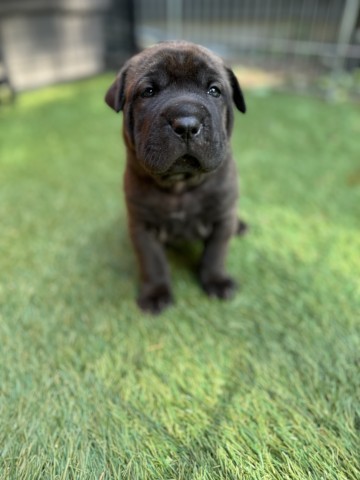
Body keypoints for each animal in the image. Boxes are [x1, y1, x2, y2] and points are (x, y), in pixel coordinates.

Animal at [105, 40, 248, 312]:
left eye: (214, 91)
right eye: (148, 92)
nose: (187, 124)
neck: (181, 185)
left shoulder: (222, 216)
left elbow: (216, 253)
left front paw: (216, 281)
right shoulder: (142, 226)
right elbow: (152, 262)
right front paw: (156, 293)